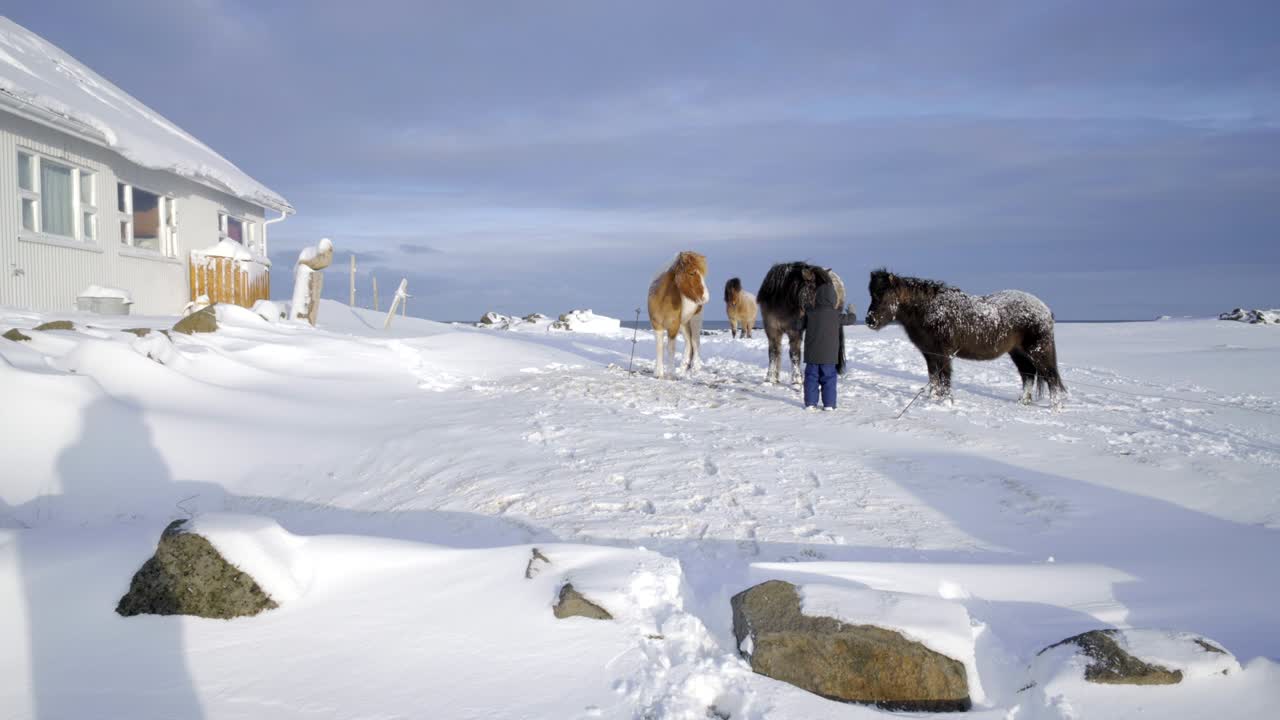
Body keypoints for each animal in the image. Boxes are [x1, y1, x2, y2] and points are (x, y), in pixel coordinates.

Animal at [864, 269, 1066, 405]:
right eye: (872, 294)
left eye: (884, 294)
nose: (869, 320)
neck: (930, 311)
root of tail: (1045, 309)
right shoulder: (930, 354)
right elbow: (934, 378)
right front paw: (933, 399)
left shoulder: (944, 354)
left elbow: (945, 378)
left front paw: (946, 402)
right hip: (1017, 352)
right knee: (1028, 375)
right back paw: (1023, 402)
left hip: (1038, 351)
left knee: (1052, 378)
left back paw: (1055, 408)